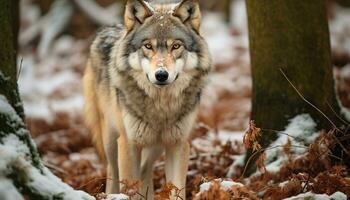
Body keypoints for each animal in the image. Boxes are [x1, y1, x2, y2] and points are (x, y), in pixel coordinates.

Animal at [83, 0, 212, 198]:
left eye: (176, 46)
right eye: (148, 46)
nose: (161, 75)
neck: (160, 106)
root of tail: (108, 28)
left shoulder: (178, 144)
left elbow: (176, 189)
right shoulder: (128, 144)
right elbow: (129, 190)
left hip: (154, 147)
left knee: (145, 171)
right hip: (111, 141)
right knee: (112, 172)